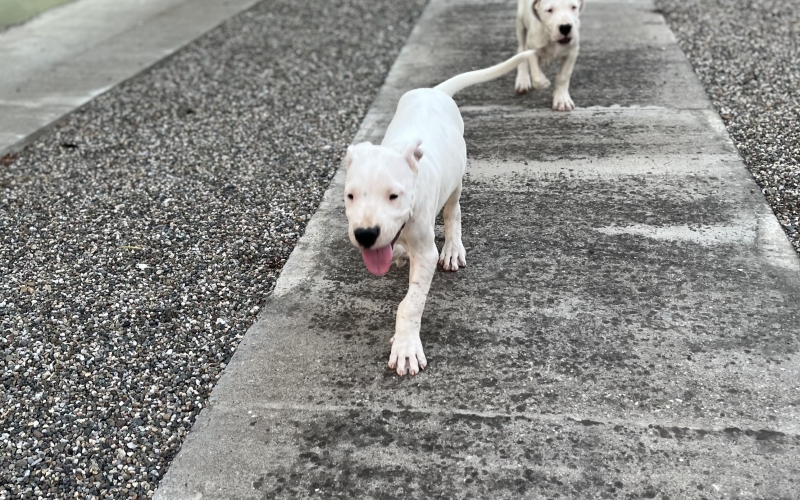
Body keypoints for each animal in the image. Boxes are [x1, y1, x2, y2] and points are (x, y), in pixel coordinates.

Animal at [346, 51, 536, 378]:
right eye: (350, 196)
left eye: (394, 196)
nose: (366, 235)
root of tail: (435, 91)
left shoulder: (425, 253)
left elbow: (410, 304)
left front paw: (406, 347)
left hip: (456, 180)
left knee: (453, 212)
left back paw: (452, 248)